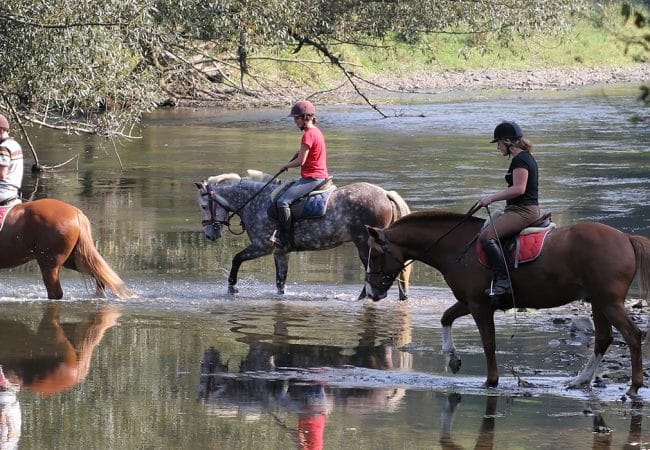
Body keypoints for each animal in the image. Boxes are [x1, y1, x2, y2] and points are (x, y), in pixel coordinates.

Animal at [194, 170, 410, 298]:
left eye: (204, 206)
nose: (209, 235)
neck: (255, 201)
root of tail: (384, 194)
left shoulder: (262, 246)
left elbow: (237, 259)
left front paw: (232, 287)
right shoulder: (281, 252)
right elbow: (280, 281)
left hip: (365, 244)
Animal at [364, 209, 648, 396]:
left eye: (375, 254)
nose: (370, 291)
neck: (457, 246)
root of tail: (626, 238)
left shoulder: (479, 305)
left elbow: (488, 342)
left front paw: (491, 381)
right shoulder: (470, 301)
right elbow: (446, 317)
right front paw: (453, 358)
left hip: (608, 302)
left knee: (632, 335)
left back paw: (633, 386)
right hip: (597, 302)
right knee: (603, 338)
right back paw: (581, 380)